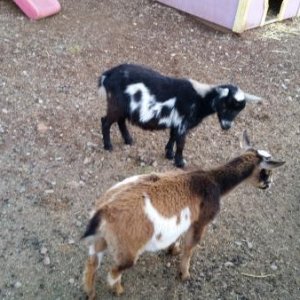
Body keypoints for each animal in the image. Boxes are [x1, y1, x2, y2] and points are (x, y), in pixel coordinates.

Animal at [81, 131, 284, 298]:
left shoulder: (186, 220)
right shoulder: (201, 222)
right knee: (113, 272)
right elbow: (190, 248)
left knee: (92, 264)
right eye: (266, 171)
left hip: (101, 240)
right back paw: (118, 290)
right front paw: (184, 274)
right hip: (128, 250)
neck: (214, 182)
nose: (269, 184)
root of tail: (104, 210)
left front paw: (173, 249)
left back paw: (90, 294)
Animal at [99, 63, 262, 168]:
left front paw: (169, 154)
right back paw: (108, 146)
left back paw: (128, 140)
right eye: (225, 105)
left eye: (238, 111)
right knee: (105, 121)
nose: (226, 126)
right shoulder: (183, 123)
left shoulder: (176, 122)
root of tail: (108, 74)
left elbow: (172, 137)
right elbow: (181, 143)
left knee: (120, 121)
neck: (200, 99)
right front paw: (180, 163)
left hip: (123, 107)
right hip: (116, 104)